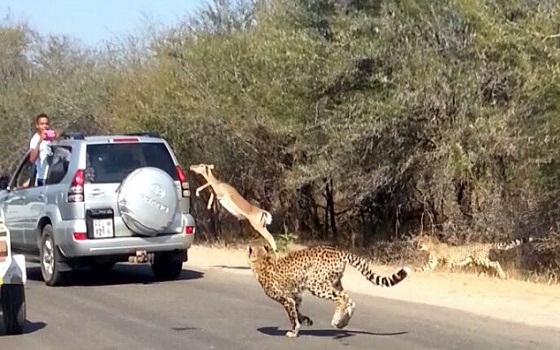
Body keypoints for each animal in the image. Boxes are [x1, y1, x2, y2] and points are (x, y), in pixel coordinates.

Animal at [247, 245, 410, 338]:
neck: (262, 260)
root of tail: (338, 251)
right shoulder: (295, 297)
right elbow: (297, 312)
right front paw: (306, 320)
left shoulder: (286, 299)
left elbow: (292, 316)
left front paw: (294, 332)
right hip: (334, 282)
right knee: (350, 300)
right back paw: (342, 323)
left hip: (315, 284)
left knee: (342, 298)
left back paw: (336, 320)